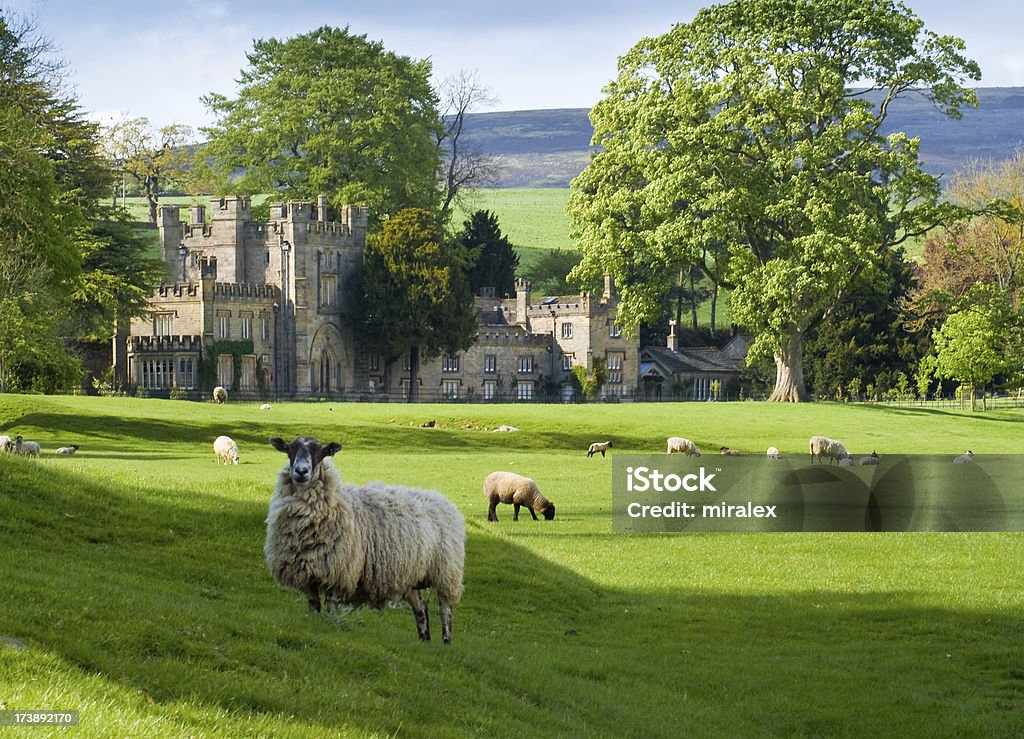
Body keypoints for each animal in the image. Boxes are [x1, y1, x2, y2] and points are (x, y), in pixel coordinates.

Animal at [268, 433, 468, 642]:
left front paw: (330, 627)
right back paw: (424, 642)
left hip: (447, 571)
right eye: (290, 449)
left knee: (445, 610)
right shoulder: (308, 577)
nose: (301, 471)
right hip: (411, 575)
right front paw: (315, 625)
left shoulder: (341, 573)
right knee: (421, 609)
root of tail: (442, 499)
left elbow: (331, 608)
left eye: (321, 452)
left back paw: (445, 641)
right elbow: (314, 608)